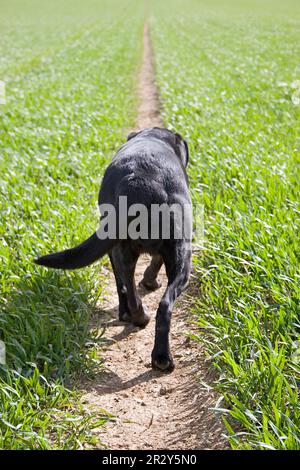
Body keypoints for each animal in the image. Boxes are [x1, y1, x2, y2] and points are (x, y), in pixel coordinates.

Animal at [34, 129, 190, 370]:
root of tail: (138, 182)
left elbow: (122, 285)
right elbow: (153, 263)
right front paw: (150, 281)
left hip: (121, 250)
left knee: (131, 290)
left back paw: (143, 328)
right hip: (182, 258)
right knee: (163, 304)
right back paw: (159, 351)